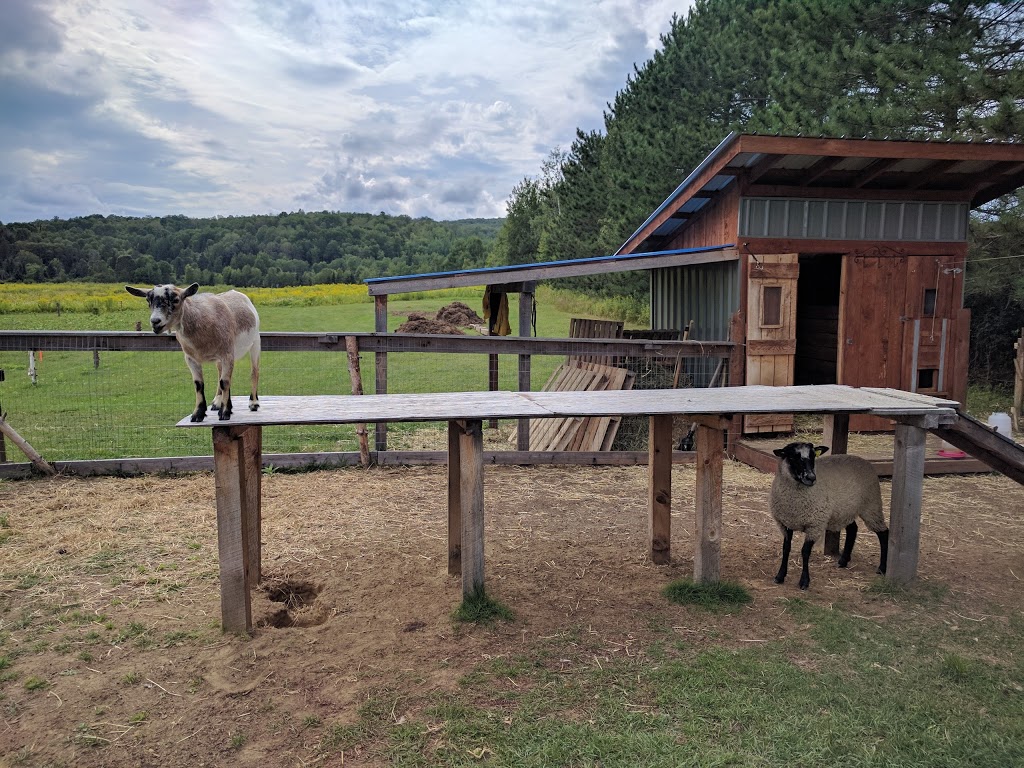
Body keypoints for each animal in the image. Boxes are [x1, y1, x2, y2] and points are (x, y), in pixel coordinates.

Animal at [124, 284, 260, 423]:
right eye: (148, 300)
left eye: (176, 300)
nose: (155, 322)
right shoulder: (191, 358)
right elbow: (199, 384)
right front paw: (198, 414)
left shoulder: (226, 354)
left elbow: (224, 381)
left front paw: (224, 412)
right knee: (220, 373)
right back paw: (218, 402)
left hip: (255, 341)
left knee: (254, 371)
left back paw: (253, 403)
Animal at [770, 442, 888, 593]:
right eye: (792, 456)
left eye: (813, 455)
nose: (811, 477)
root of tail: (863, 460)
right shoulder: (785, 523)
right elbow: (786, 548)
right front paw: (780, 576)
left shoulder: (815, 525)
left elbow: (805, 552)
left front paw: (804, 581)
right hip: (845, 510)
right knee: (853, 529)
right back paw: (843, 561)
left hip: (871, 505)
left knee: (883, 533)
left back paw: (882, 568)